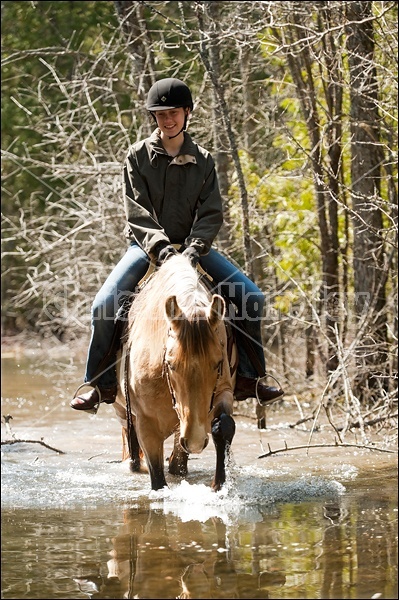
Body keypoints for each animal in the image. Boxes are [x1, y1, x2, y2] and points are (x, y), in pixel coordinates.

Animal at [112, 253, 238, 492]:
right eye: (170, 365)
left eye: (218, 363)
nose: (196, 441)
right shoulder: (146, 424)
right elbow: (157, 479)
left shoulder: (222, 392)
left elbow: (226, 426)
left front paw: (218, 485)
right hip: (124, 414)